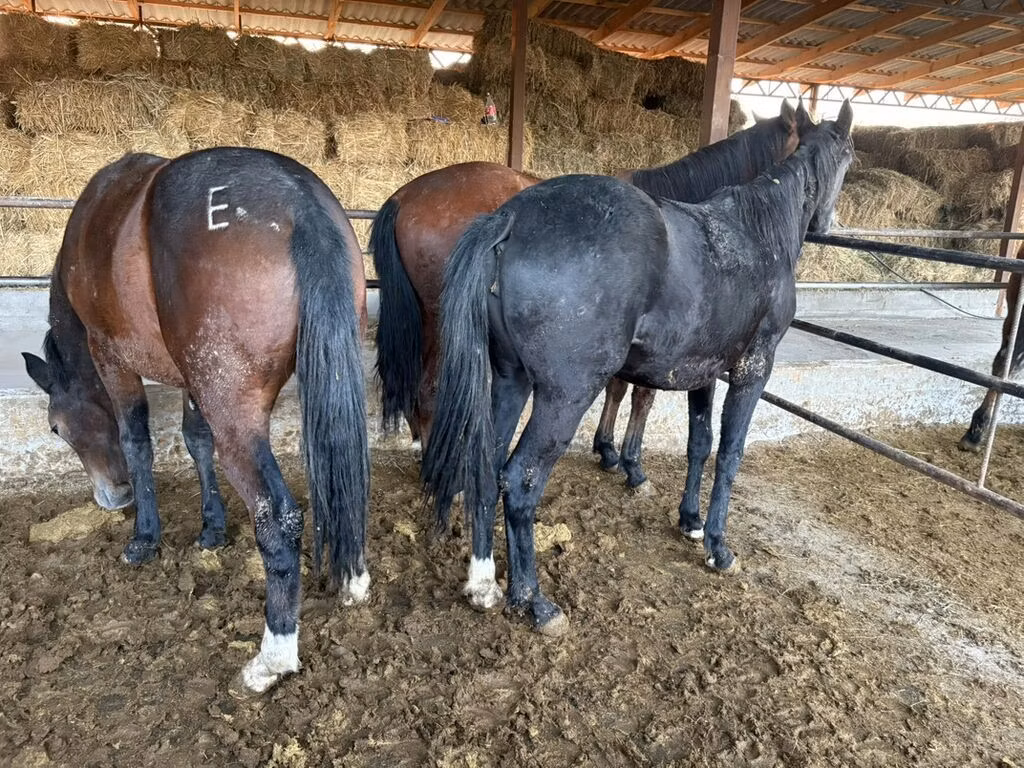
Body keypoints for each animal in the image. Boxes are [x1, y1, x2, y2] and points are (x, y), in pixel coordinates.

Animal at [22, 147, 370, 696]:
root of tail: (301, 207)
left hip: (236, 414)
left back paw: (271, 659)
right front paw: (212, 527)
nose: (113, 496)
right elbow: (195, 440)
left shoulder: (111, 357)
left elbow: (137, 440)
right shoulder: (189, 378)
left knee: (278, 517)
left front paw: (144, 536)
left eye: (56, 428)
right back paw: (351, 577)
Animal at [371, 100, 802, 492]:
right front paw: (631, 465)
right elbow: (641, 395)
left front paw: (607, 450)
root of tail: (405, 196)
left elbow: (619, 387)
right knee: (429, 391)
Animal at [421, 102, 855, 633]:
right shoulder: (753, 370)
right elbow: (729, 454)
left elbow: (699, 444)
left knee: (485, 466)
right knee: (520, 480)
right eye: (849, 156)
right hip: (565, 395)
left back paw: (483, 584)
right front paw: (718, 546)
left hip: (510, 380)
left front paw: (689, 521)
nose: (828, 223)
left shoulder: (703, 373)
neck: (758, 232)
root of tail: (511, 217)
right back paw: (534, 600)